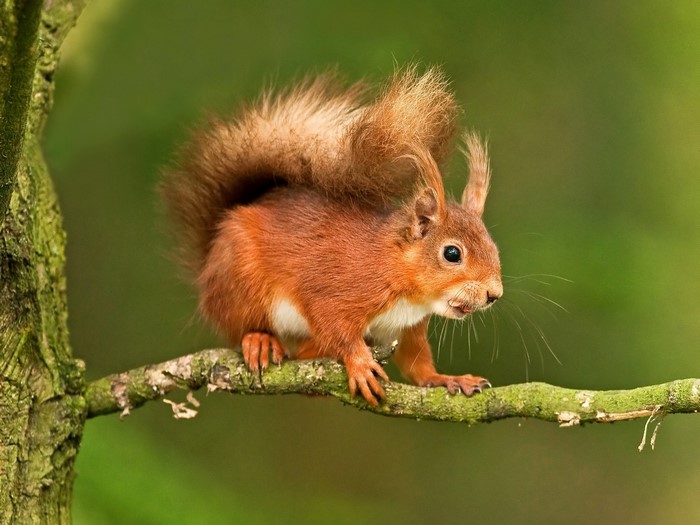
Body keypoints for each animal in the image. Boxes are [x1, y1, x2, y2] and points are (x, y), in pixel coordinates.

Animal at [162, 66, 503, 406]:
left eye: (494, 249)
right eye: (452, 253)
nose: (494, 294)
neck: (397, 274)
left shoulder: (406, 329)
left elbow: (417, 365)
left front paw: (448, 379)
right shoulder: (337, 289)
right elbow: (335, 327)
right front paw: (360, 363)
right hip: (241, 282)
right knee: (244, 327)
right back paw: (260, 340)